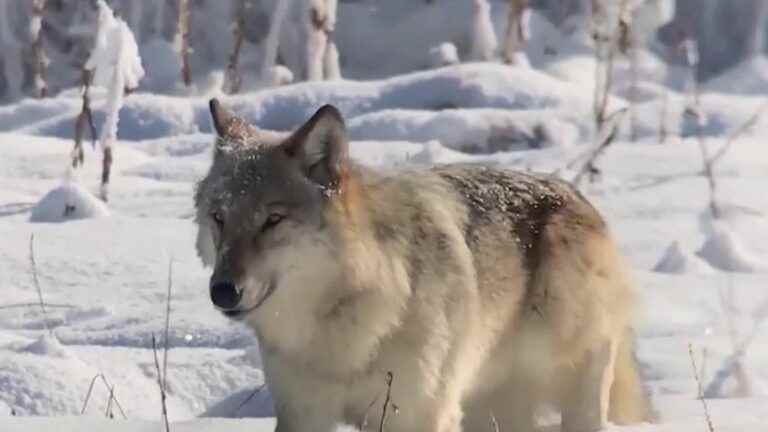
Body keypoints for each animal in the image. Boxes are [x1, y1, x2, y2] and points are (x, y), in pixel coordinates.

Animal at [195, 99, 652, 432]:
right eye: (219, 218)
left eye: (272, 220)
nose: (222, 291)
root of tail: (581, 201)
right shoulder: (303, 415)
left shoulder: (417, 415)